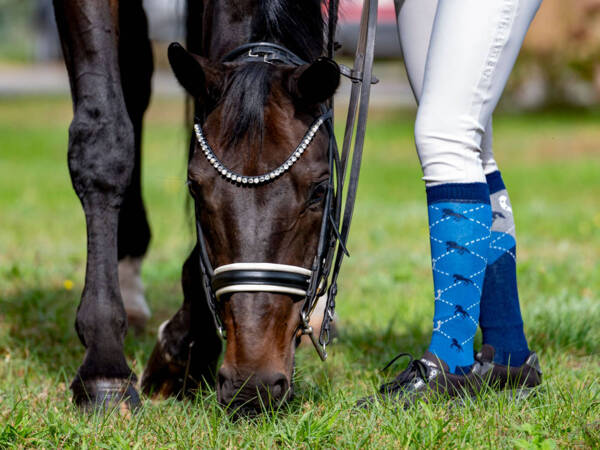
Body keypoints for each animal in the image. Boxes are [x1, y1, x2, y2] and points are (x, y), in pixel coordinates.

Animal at [53, 0, 340, 414]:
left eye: (320, 191)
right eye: (194, 188)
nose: (252, 383)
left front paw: (184, 348)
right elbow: (103, 140)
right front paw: (104, 371)